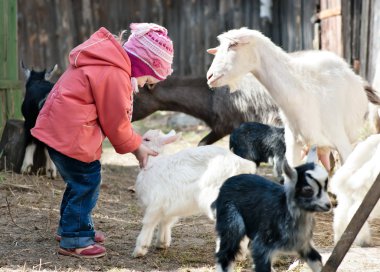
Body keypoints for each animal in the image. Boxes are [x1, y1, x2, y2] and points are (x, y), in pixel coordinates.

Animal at [133, 130, 255, 258]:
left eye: (147, 139)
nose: (137, 144)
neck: (154, 163)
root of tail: (242, 164)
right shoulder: (168, 208)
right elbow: (165, 223)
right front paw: (162, 244)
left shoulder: (155, 206)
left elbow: (148, 224)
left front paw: (139, 250)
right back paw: (240, 255)